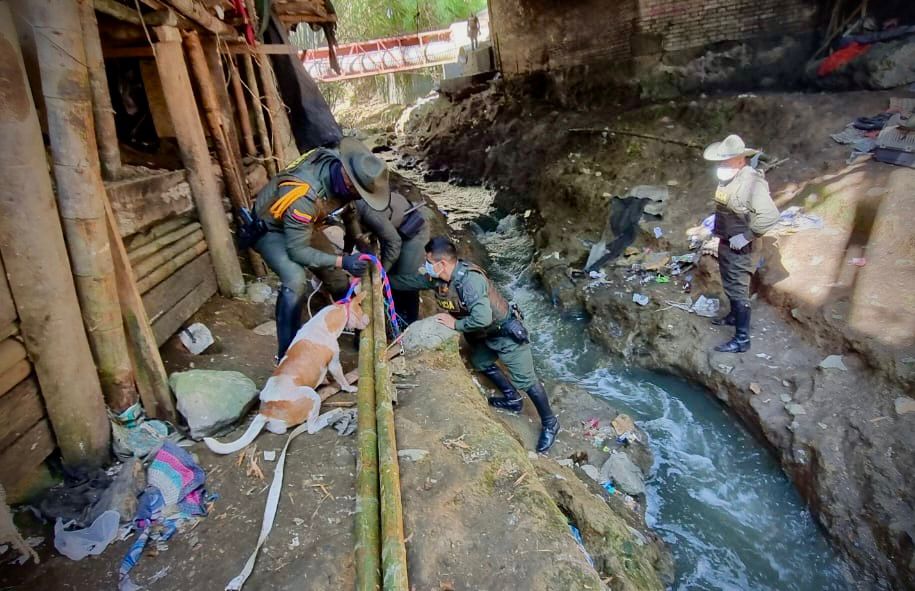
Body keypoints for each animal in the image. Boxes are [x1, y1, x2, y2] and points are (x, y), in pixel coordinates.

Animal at [204, 294, 368, 456]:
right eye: (361, 309)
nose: (368, 320)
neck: (324, 322)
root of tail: (265, 411)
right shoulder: (334, 363)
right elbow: (342, 379)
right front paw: (349, 388)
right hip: (312, 395)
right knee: (311, 428)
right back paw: (330, 415)